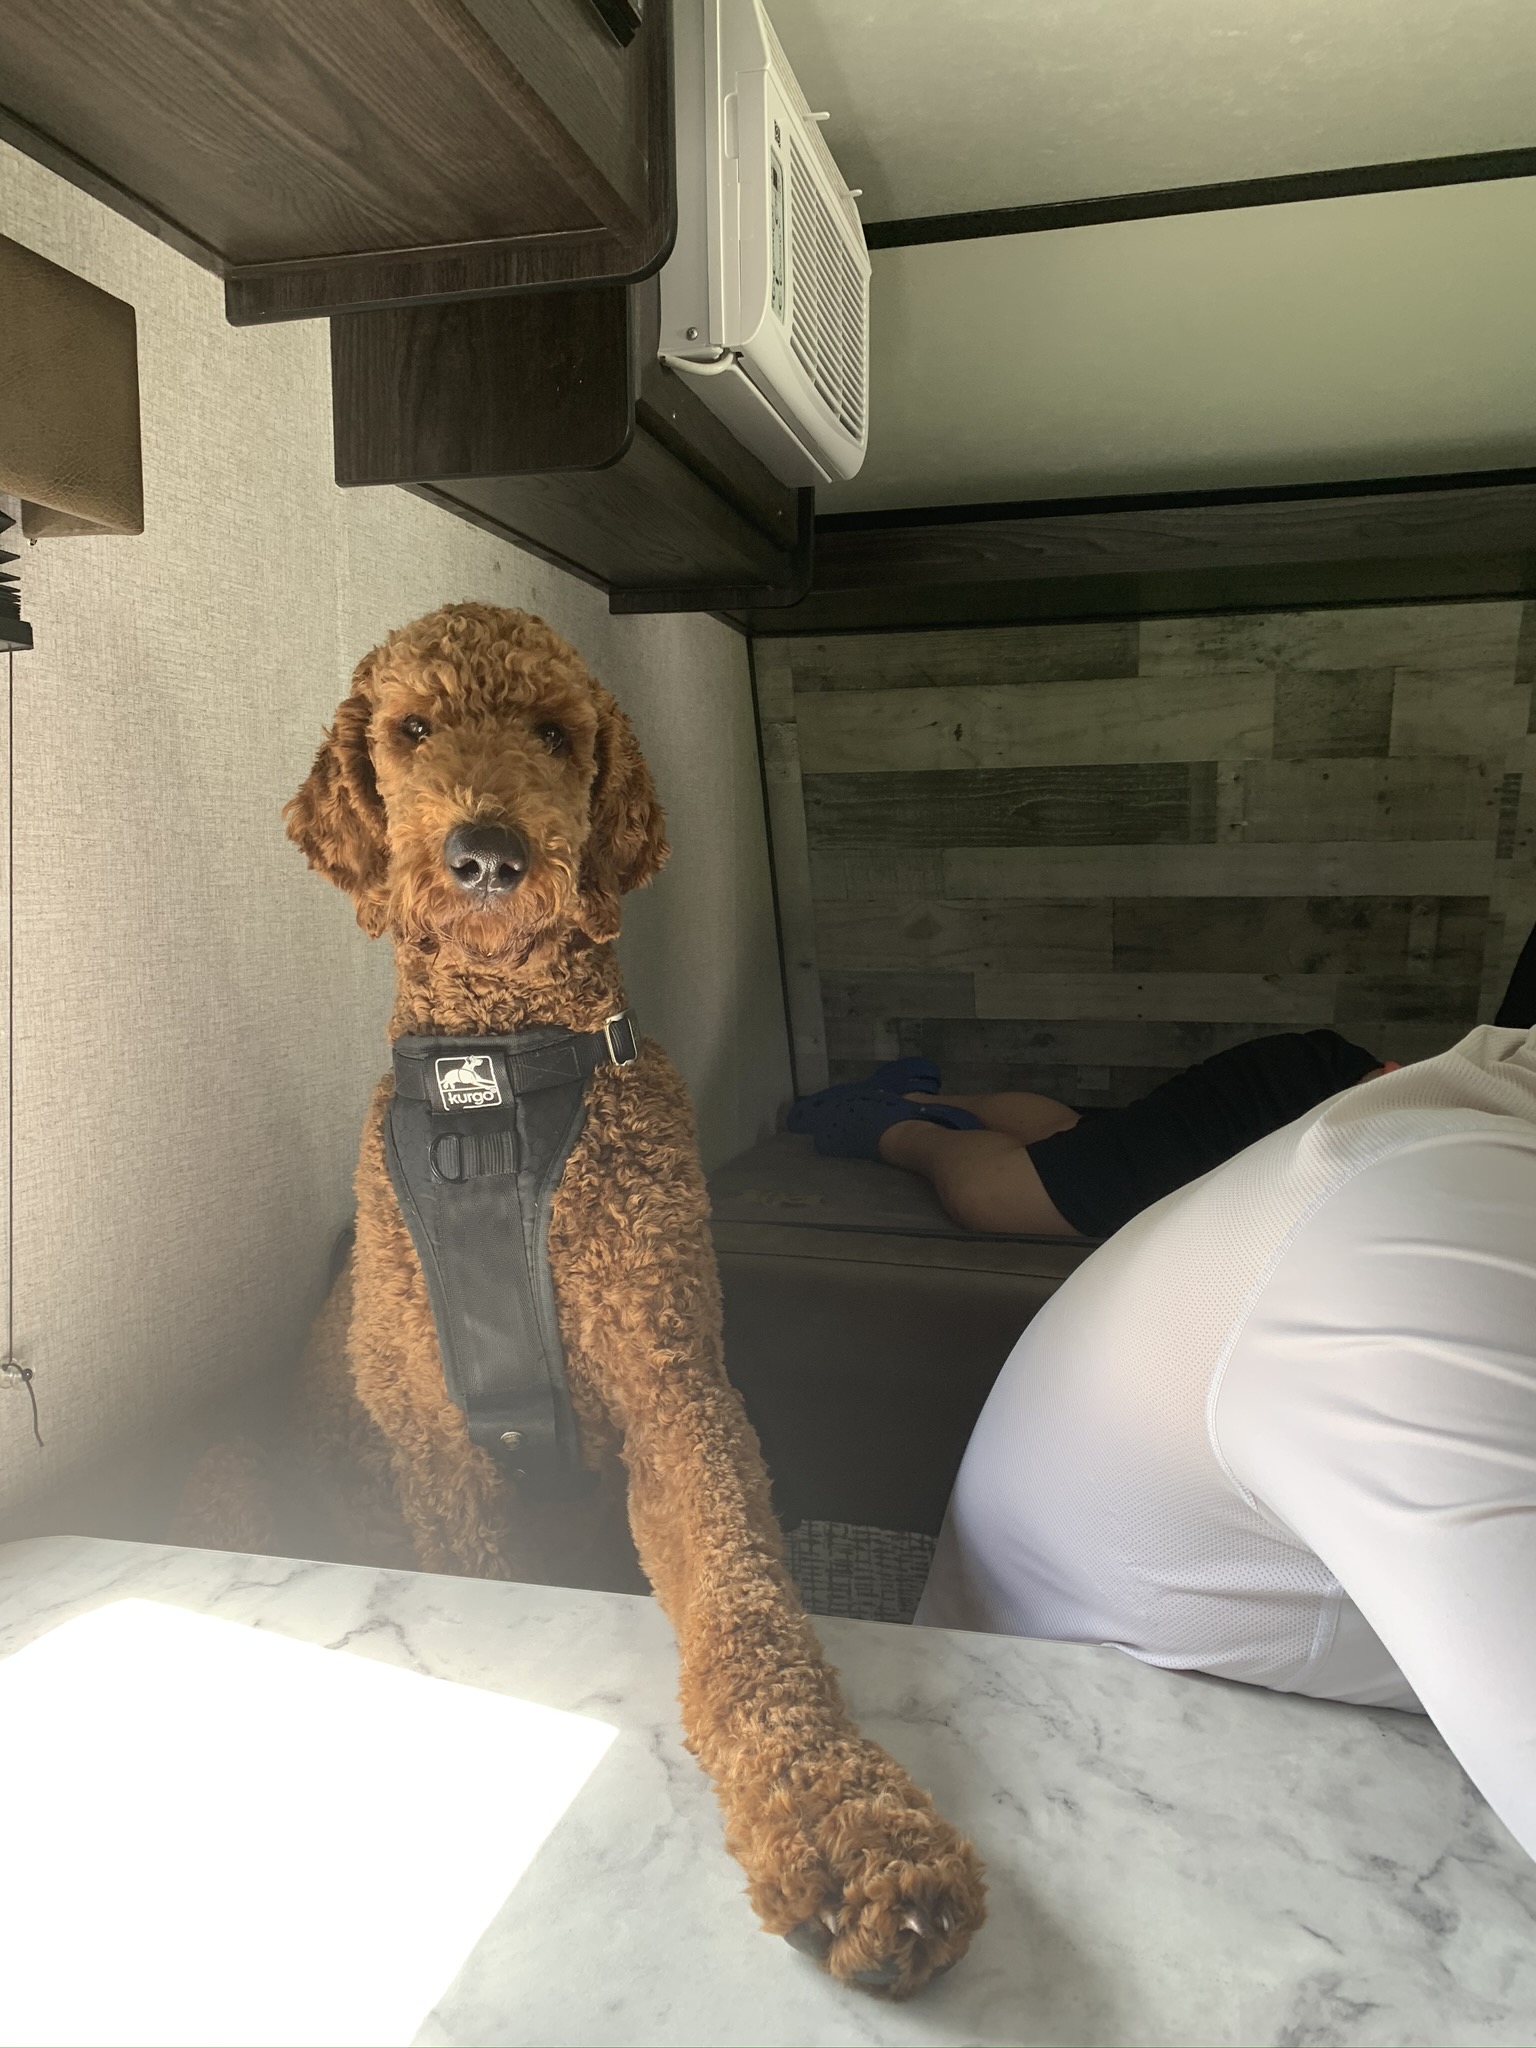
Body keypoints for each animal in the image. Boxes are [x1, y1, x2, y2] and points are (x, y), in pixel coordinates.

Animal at [246, 602, 984, 1997]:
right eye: (411, 728)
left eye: (552, 732)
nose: (485, 852)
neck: (498, 1084)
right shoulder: (443, 1449)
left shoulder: (674, 1388)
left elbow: (750, 1616)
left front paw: (854, 1837)